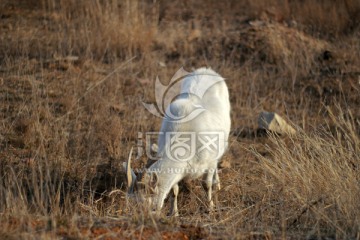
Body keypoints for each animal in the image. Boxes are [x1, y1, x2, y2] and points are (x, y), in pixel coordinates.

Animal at [126, 67, 231, 216]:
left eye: (149, 206)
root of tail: (207, 70)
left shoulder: (209, 161)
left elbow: (206, 184)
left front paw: (210, 208)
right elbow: (174, 190)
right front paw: (174, 213)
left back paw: (217, 183)